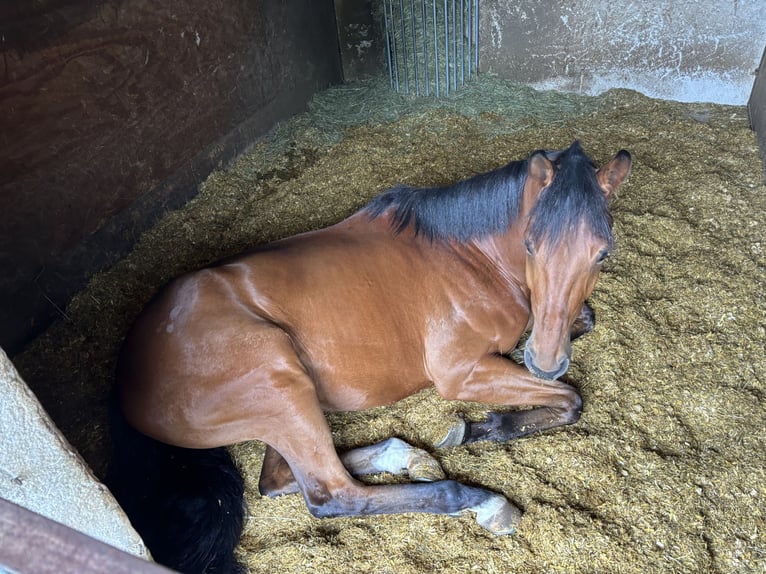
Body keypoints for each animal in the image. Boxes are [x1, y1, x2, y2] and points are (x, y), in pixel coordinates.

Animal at [107, 140, 631, 573]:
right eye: (530, 244)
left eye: (602, 254)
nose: (544, 361)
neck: (470, 256)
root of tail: (127, 380)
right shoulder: (461, 373)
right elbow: (570, 399)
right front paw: (480, 428)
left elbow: (581, 326)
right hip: (279, 383)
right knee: (330, 494)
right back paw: (479, 500)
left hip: (284, 406)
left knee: (279, 480)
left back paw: (406, 455)